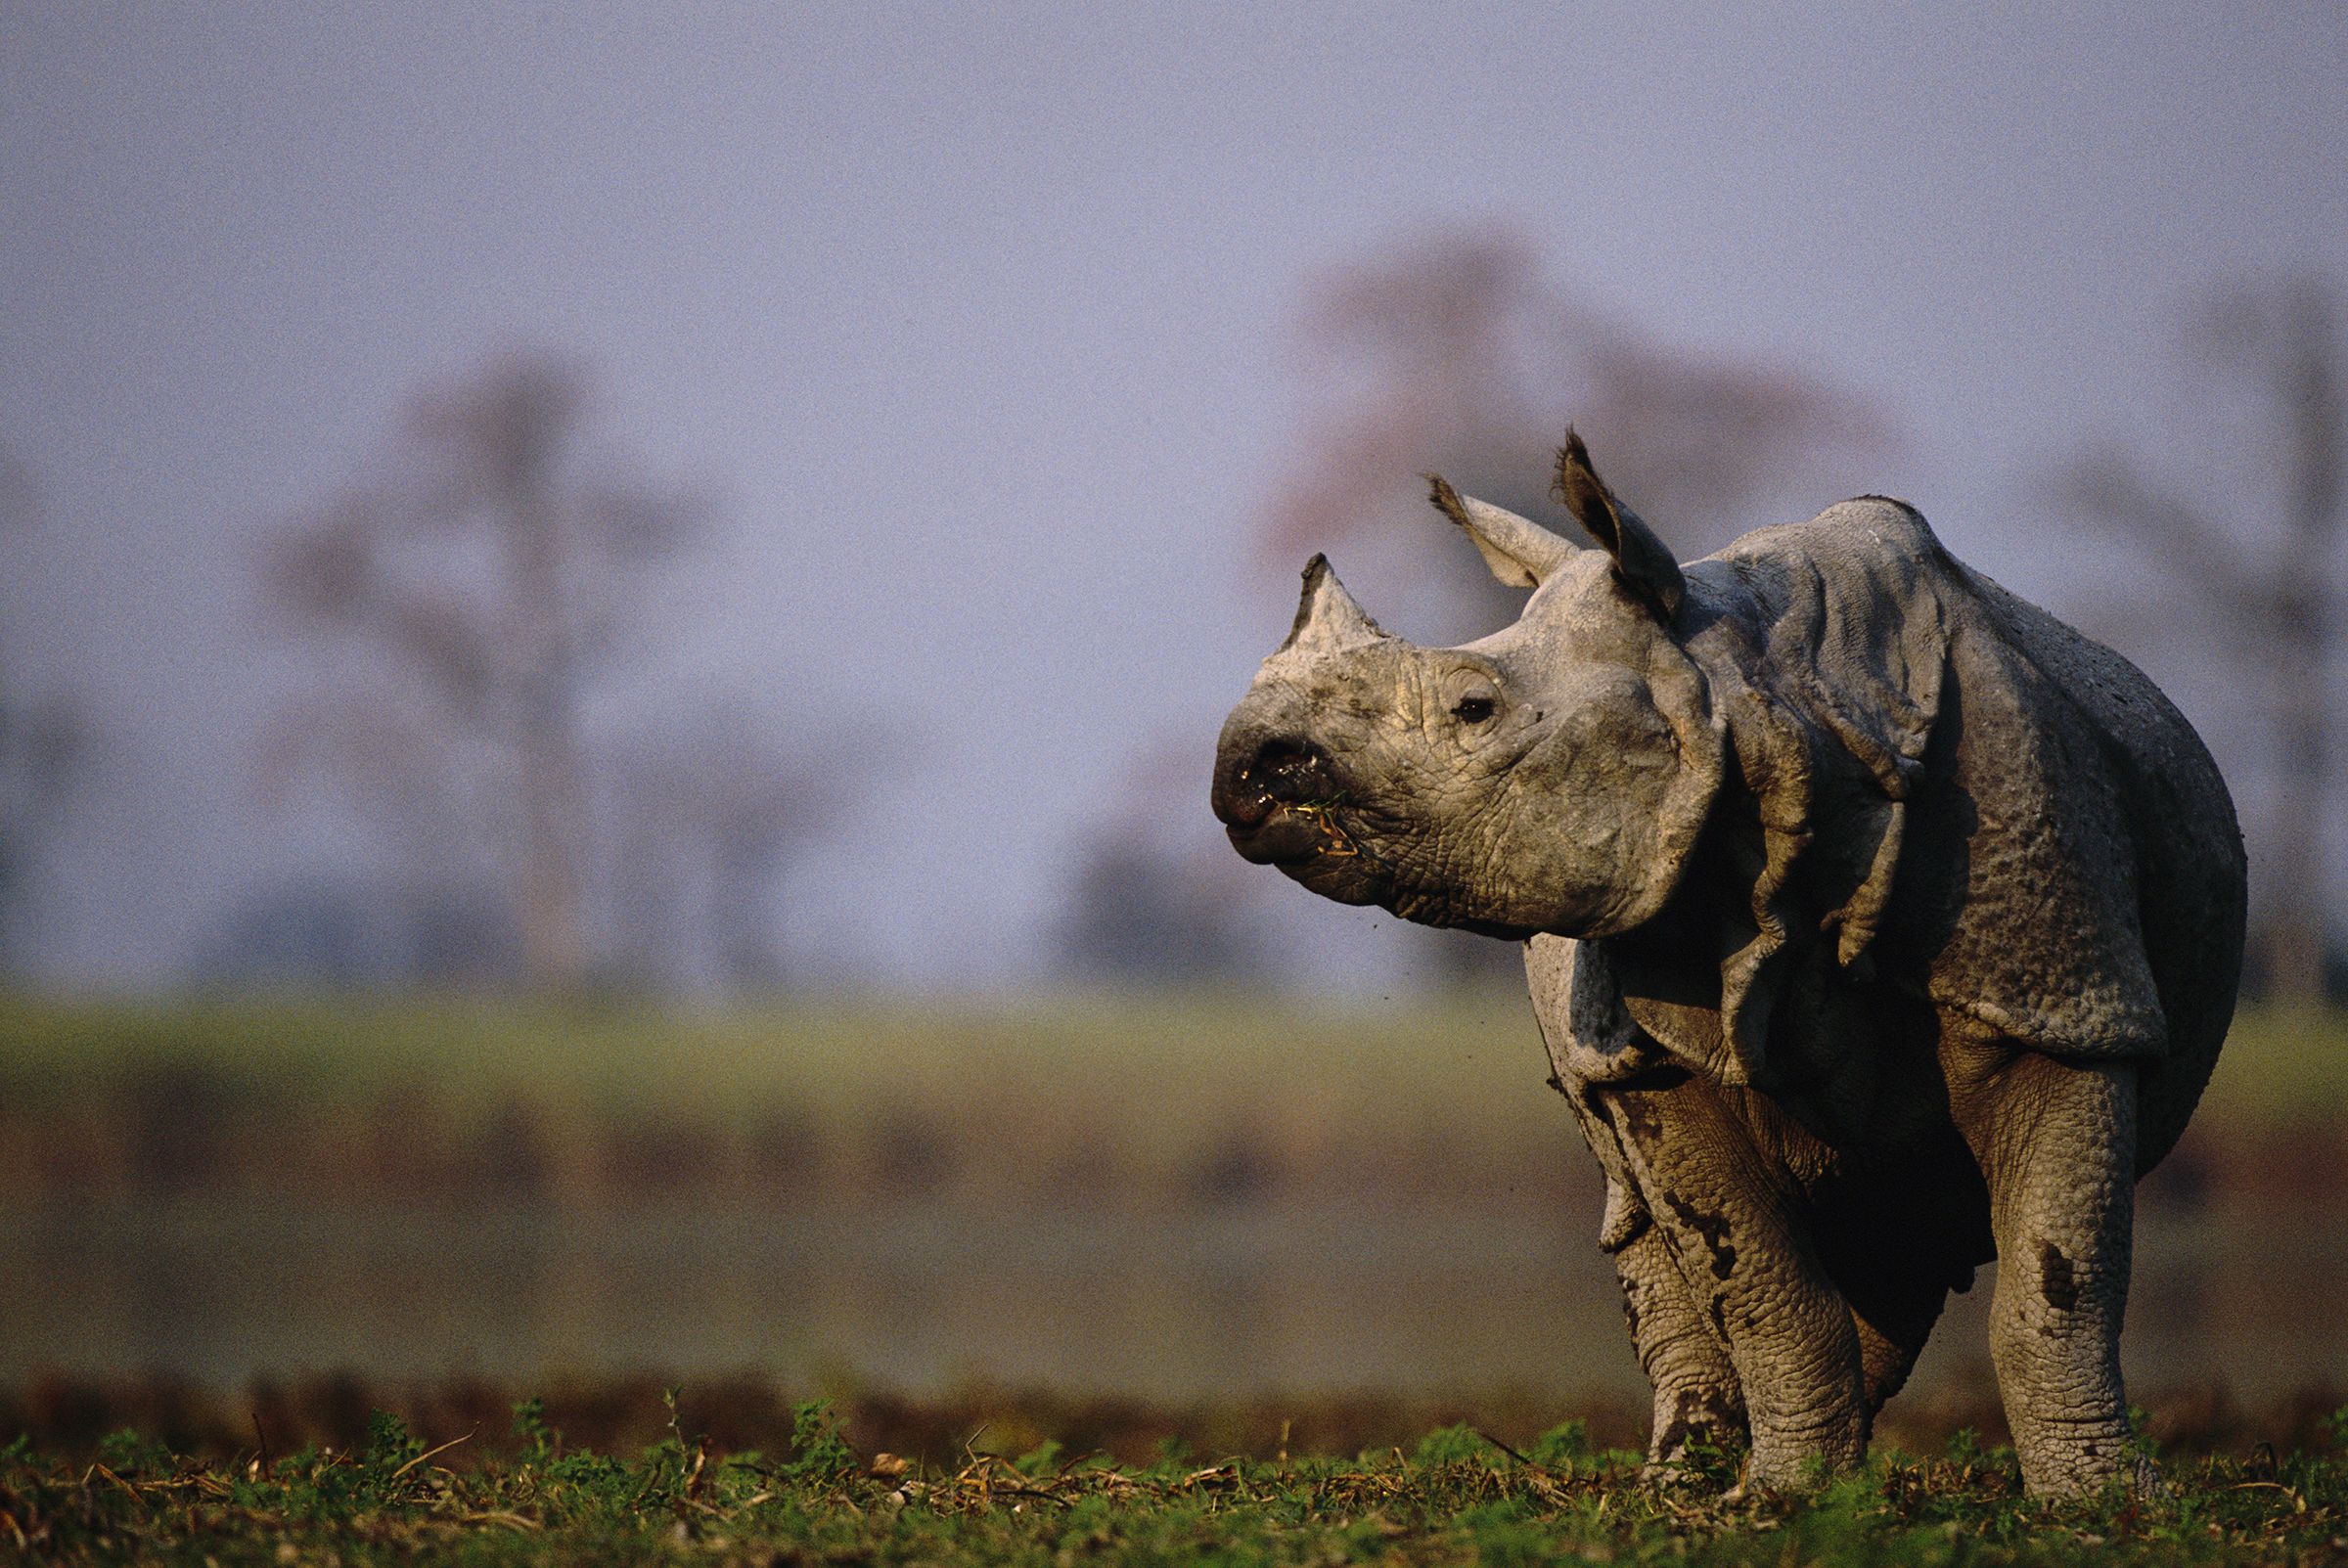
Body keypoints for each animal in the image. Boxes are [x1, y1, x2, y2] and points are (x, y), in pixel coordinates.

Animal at [1210, 433, 2246, 1495]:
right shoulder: (1652, 1037)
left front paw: (2106, 1501)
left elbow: (2055, 1287)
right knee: (1666, 1216)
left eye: (1473, 707)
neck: (1761, 704)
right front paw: (1783, 1498)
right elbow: (1760, 1287)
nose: (1248, 768)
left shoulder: (2061, 1000)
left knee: (1899, 1228)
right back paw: (1683, 1483)